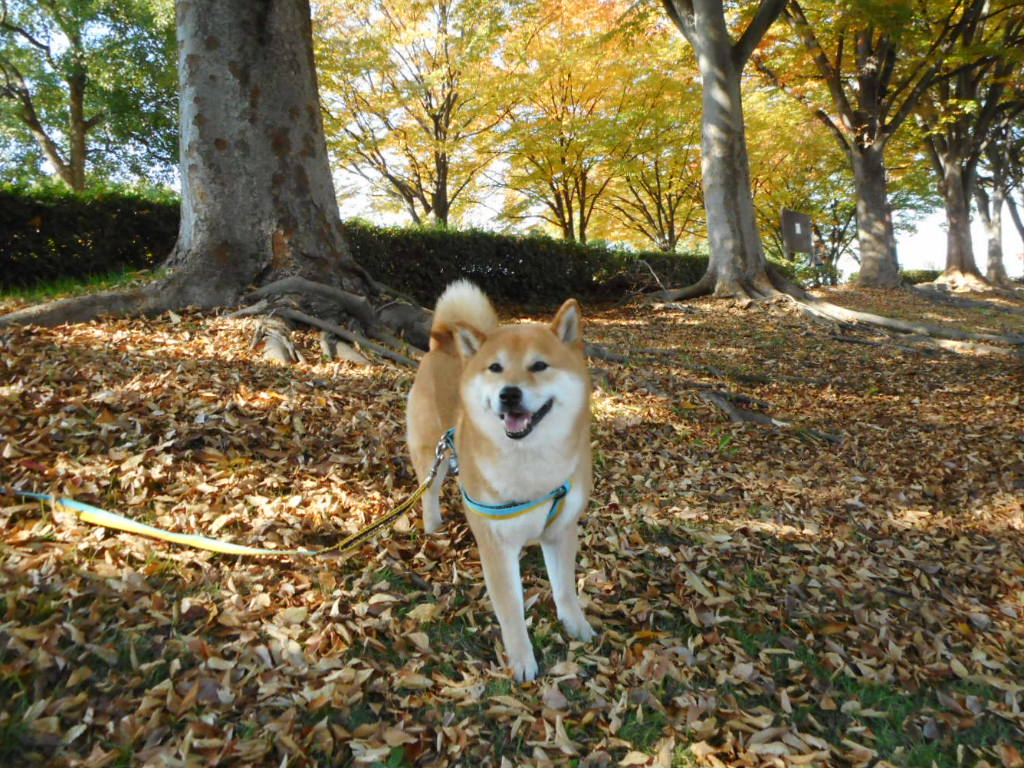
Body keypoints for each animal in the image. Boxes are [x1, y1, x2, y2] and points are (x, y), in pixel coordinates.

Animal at [405, 280, 598, 679]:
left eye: (539, 365)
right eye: (495, 368)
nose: (509, 394)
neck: (530, 466)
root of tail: (443, 342)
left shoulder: (561, 531)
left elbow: (565, 590)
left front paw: (576, 624)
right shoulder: (495, 545)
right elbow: (511, 609)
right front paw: (522, 659)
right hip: (432, 452)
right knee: (428, 490)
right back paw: (433, 524)